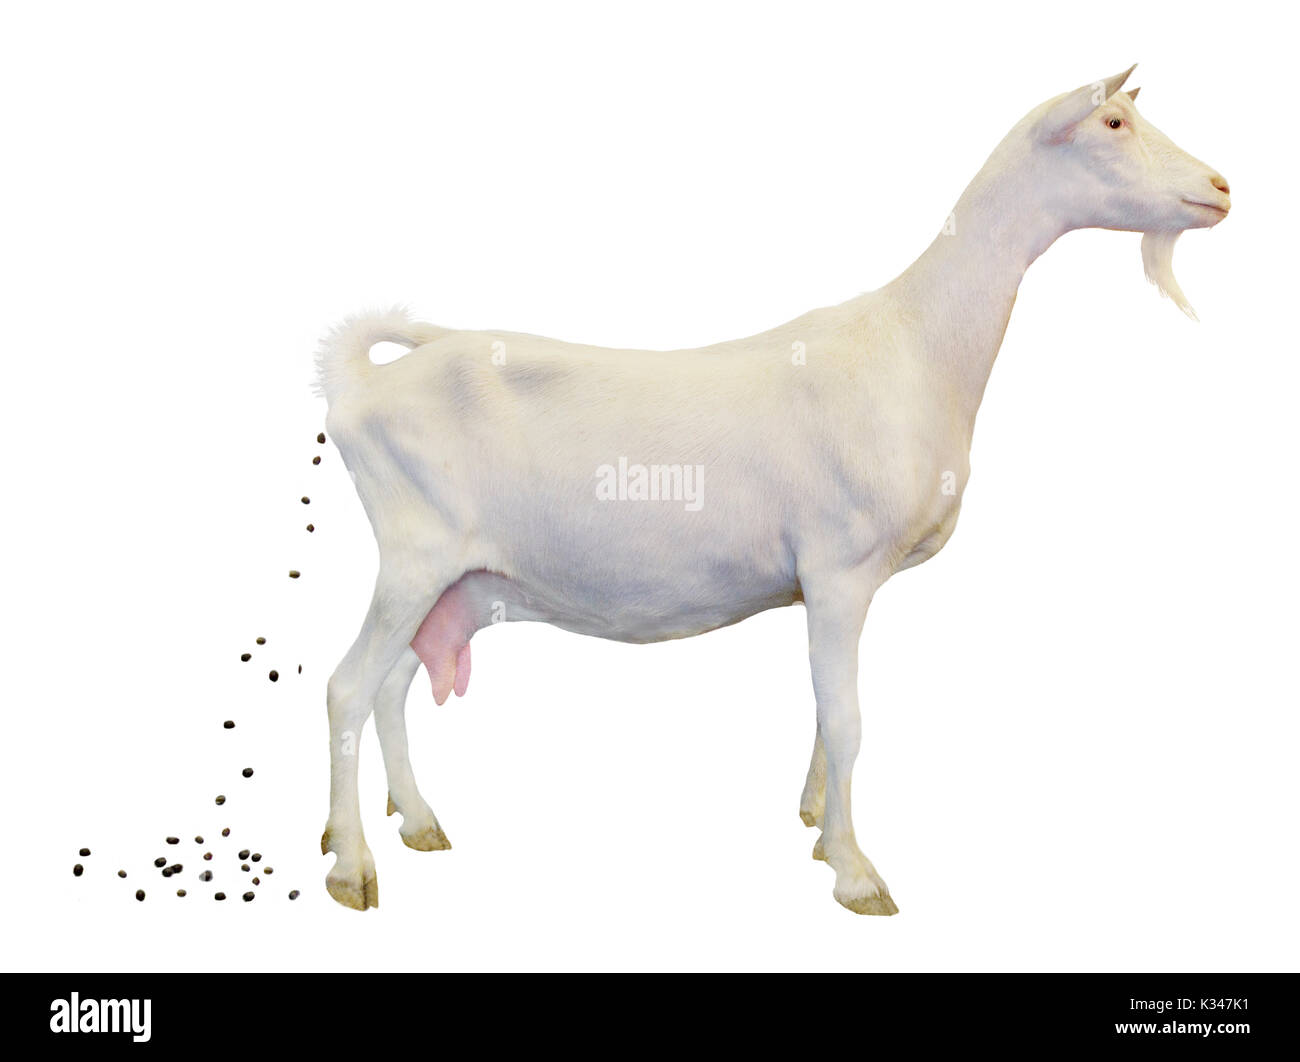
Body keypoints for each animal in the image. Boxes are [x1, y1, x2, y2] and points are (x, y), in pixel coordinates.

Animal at [315, 66, 1229, 914]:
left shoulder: (829, 587)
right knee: (348, 688)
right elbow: (850, 719)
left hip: (465, 584)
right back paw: (352, 867)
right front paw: (858, 875)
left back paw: (417, 822)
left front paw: (820, 830)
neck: (916, 345)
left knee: (393, 686)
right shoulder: (839, 569)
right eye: (1113, 123)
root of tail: (362, 386)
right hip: (415, 554)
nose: (1221, 188)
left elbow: (826, 714)